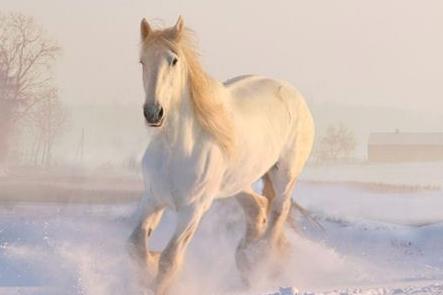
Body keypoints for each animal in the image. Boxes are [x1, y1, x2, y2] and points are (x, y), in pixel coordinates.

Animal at [128, 16, 316, 295]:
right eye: (142, 61)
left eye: (174, 60)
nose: (153, 113)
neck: (176, 150)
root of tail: (292, 93)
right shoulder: (152, 199)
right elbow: (135, 247)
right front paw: (148, 263)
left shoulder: (193, 210)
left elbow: (170, 260)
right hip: (237, 182)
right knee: (258, 207)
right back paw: (246, 259)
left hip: (285, 173)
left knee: (279, 210)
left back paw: (259, 258)